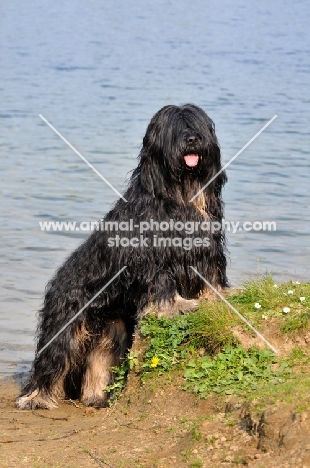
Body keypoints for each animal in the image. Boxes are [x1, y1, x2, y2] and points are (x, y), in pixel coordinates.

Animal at [16, 103, 228, 410]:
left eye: (197, 125)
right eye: (175, 128)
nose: (192, 140)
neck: (181, 192)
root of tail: (56, 283)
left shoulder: (208, 246)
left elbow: (212, 274)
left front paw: (220, 295)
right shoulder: (153, 257)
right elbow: (162, 285)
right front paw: (176, 305)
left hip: (111, 329)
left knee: (100, 361)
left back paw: (97, 397)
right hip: (67, 324)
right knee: (52, 360)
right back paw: (35, 398)